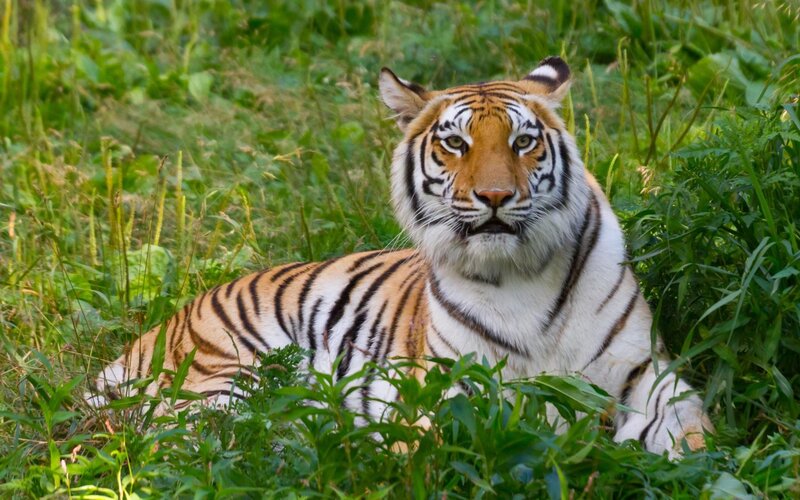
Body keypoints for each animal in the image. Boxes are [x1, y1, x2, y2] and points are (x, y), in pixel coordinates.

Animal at [88, 56, 713, 458]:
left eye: (523, 142)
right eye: (455, 143)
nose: (494, 197)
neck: (522, 274)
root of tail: (164, 324)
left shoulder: (650, 375)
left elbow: (694, 438)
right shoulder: (452, 393)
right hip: (225, 382)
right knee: (174, 442)